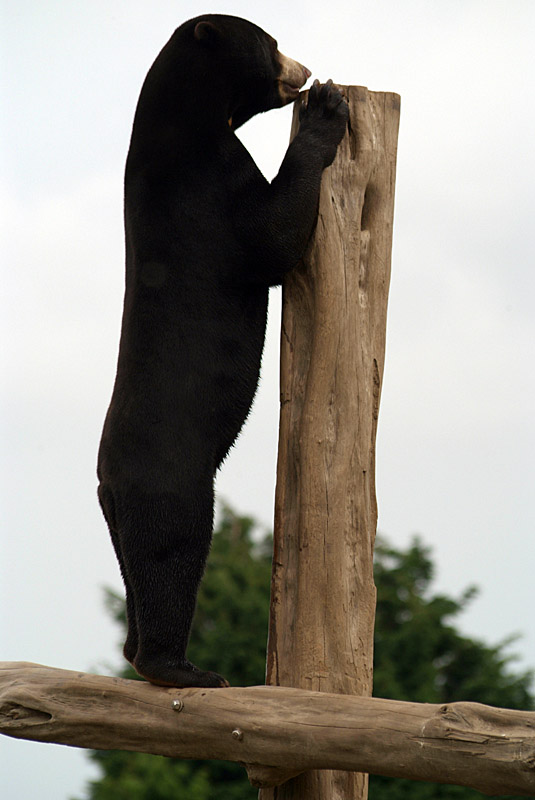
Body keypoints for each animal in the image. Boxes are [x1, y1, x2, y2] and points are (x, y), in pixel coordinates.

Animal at [97, 12, 348, 688]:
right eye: (271, 44)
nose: (303, 70)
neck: (187, 121)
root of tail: (108, 482)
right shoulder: (211, 190)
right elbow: (272, 236)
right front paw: (329, 109)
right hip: (172, 484)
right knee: (173, 556)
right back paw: (185, 670)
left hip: (117, 517)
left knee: (134, 571)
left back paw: (138, 653)